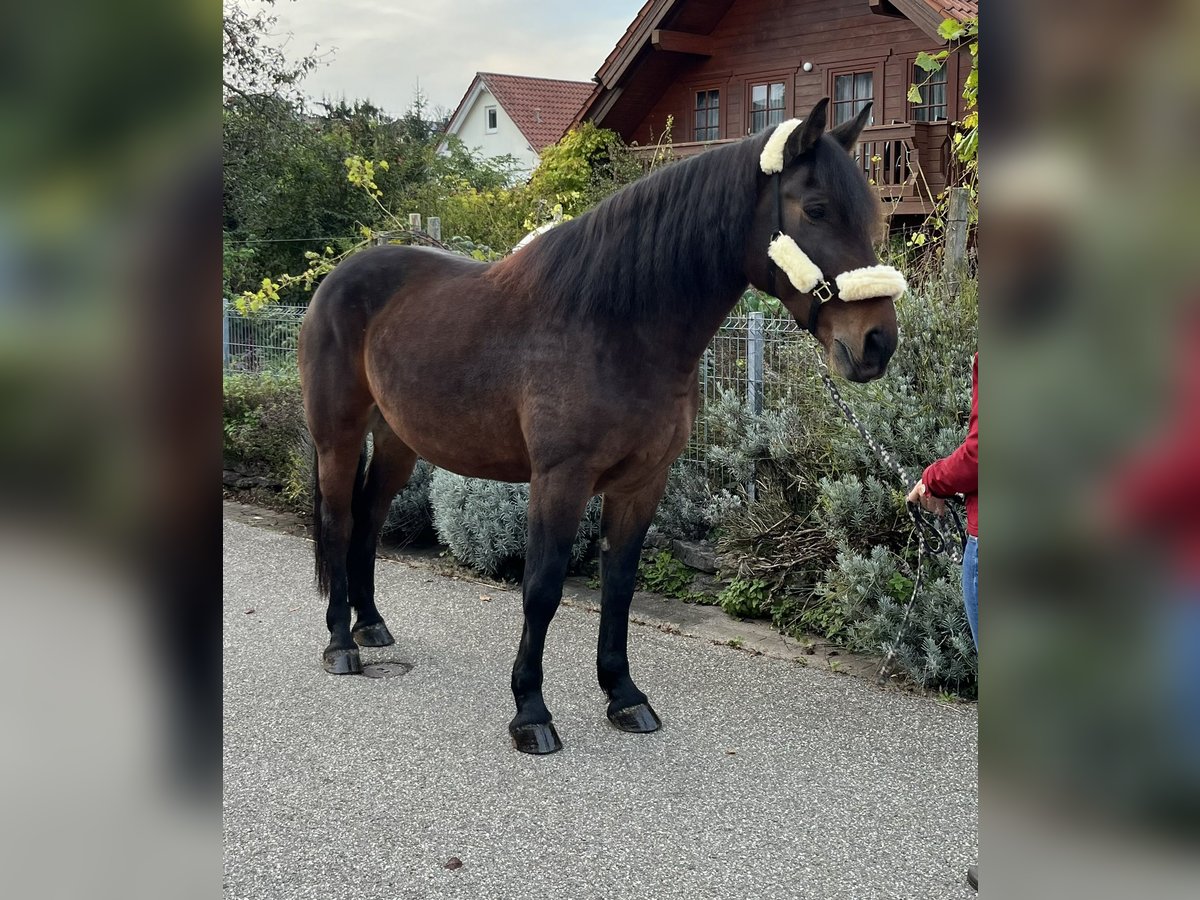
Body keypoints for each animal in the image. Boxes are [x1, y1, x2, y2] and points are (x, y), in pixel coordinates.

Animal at [297, 98, 902, 758]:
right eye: (815, 208)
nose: (876, 343)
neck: (614, 325)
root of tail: (338, 277)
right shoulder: (560, 481)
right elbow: (542, 589)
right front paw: (530, 712)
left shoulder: (642, 483)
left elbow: (620, 586)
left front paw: (624, 696)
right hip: (338, 437)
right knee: (339, 521)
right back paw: (341, 644)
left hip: (399, 442)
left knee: (368, 521)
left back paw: (371, 625)